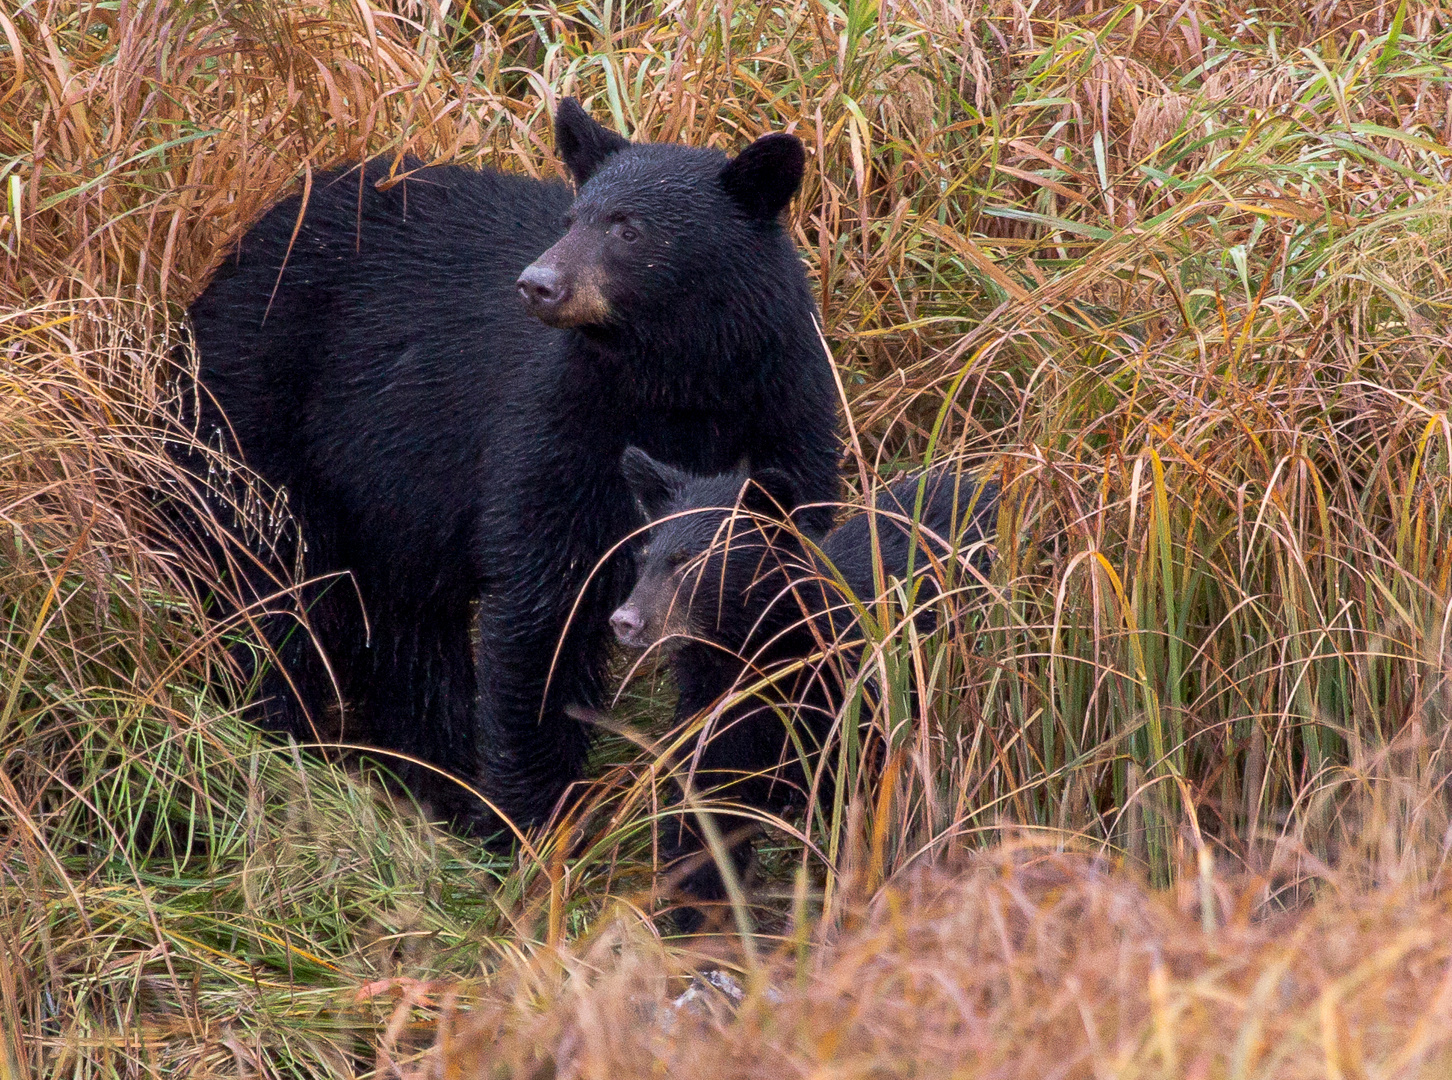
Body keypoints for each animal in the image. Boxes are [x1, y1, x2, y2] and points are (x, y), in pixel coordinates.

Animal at [180, 99, 842, 824]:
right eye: (572, 218)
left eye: (629, 229)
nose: (537, 284)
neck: (684, 387)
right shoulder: (564, 426)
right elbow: (545, 601)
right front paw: (527, 821)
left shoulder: (786, 417)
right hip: (255, 407)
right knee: (266, 572)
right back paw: (273, 730)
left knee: (406, 625)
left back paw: (430, 773)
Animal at [612, 450, 998, 917]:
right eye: (643, 556)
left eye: (691, 560)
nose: (625, 621)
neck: (753, 659)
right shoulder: (715, 714)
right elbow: (705, 812)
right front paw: (699, 917)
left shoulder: (850, 704)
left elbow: (866, 811)